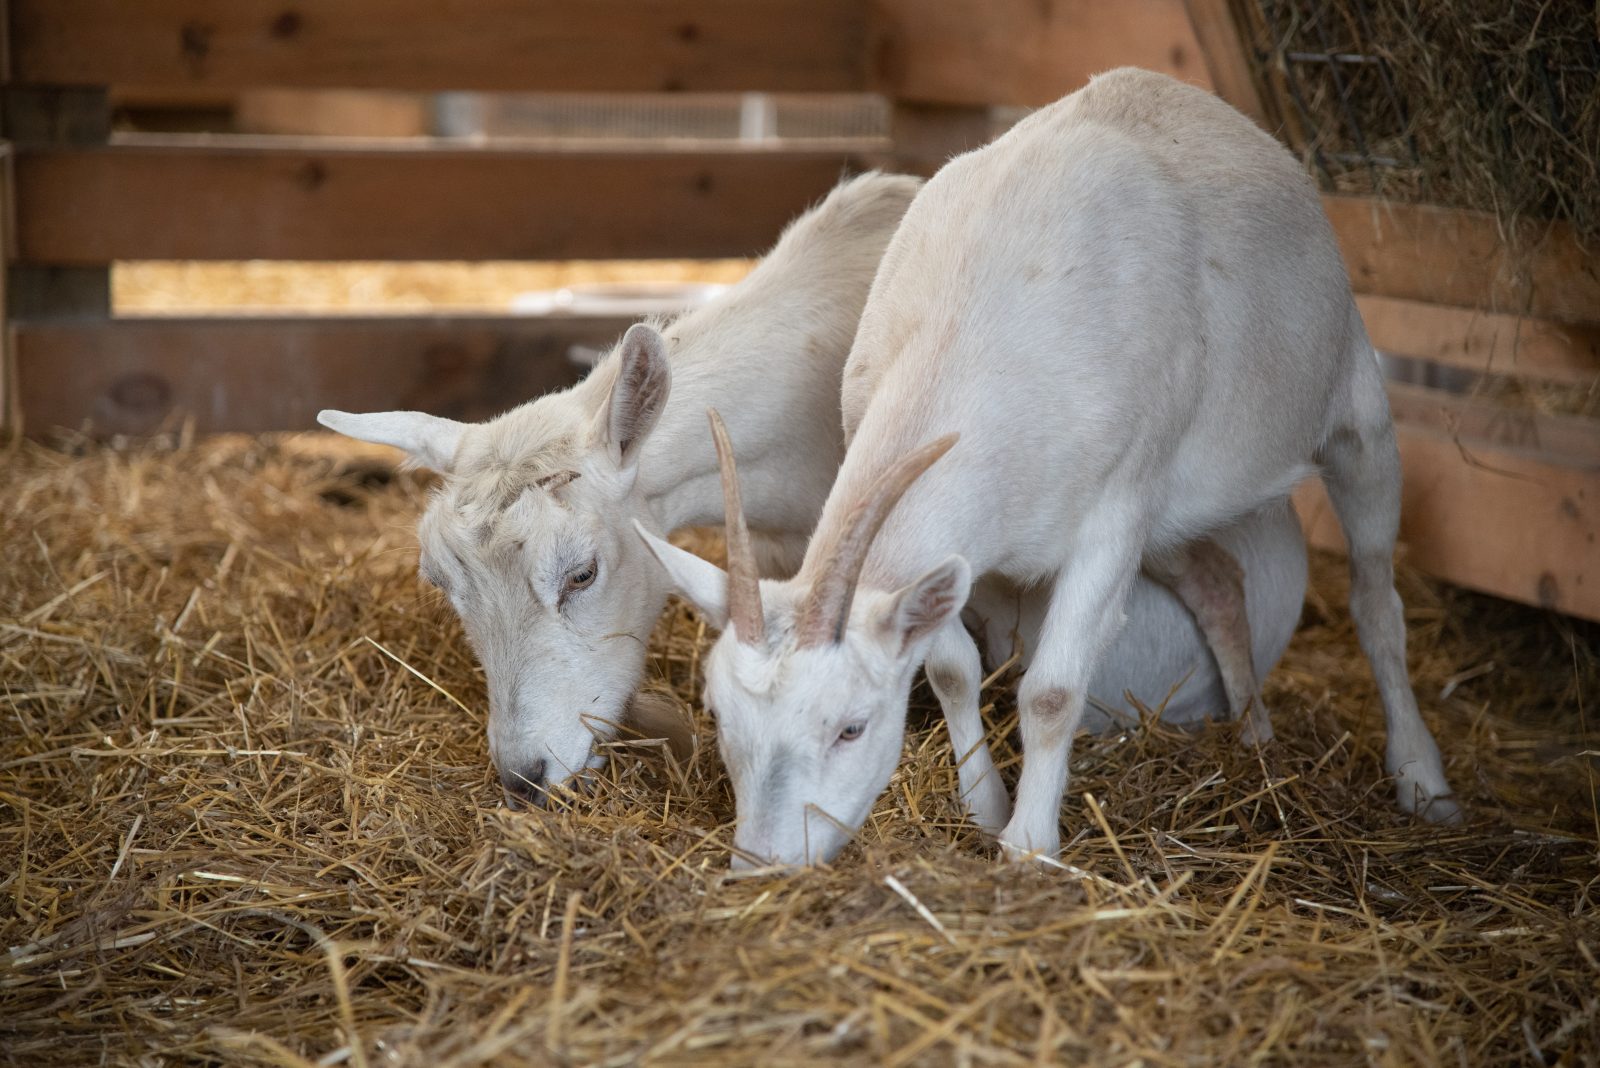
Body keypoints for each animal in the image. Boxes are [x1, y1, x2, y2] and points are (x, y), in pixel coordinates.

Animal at [640, 68, 1465, 869]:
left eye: (852, 726)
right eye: (719, 716)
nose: (762, 865)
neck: (982, 328)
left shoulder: (1116, 515)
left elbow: (1051, 692)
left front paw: (1028, 845)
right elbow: (951, 669)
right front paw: (984, 807)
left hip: (1356, 409)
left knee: (1376, 600)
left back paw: (1422, 779)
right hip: (1176, 519)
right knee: (1220, 586)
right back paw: (1256, 738)